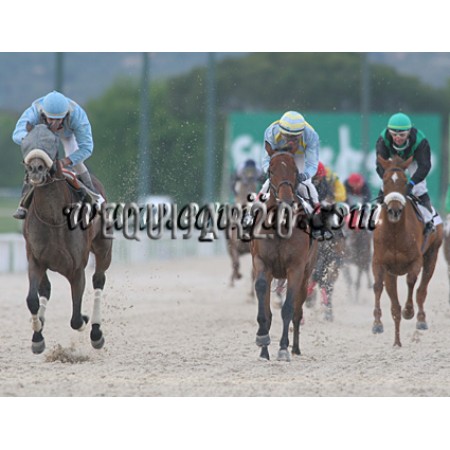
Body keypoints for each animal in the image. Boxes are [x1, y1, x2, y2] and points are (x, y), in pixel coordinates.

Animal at [21, 123, 113, 354]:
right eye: (25, 141)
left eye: (53, 142)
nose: (36, 169)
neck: (53, 218)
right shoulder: (36, 260)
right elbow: (32, 299)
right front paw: (37, 336)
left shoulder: (76, 268)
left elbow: (76, 319)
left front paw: (86, 320)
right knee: (45, 289)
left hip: (104, 249)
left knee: (99, 279)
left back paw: (96, 331)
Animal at [250, 147, 318, 361]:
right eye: (271, 170)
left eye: (295, 170)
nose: (286, 199)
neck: (279, 223)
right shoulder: (261, 263)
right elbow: (263, 301)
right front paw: (262, 341)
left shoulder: (296, 269)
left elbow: (288, 309)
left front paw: (283, 348)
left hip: (306, 273)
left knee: (297, 311)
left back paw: (294, 348)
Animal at [372, 155, 443, 347]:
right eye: (385, 180)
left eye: (405, 181)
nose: (394, 210)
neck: (395, 233)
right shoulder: (381, 263)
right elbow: (378, 287)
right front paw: (377, 323)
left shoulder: (416, 260)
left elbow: (411, 281)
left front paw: (409, 311)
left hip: (432, 255)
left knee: (422, 289)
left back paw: (421, 319)